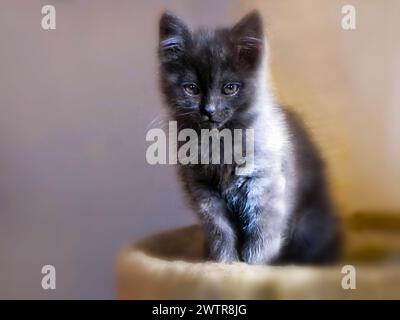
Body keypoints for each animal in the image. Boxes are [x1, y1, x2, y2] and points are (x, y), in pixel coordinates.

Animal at [156, 10, 340, 264]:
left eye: (230, 88)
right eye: (191, 89)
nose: (209, 110)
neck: (219, 142)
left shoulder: (264, 181)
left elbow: (261, 229)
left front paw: (253, 264)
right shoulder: (202, 191)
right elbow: (219, 229)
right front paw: (225, 261)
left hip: (308, 224)